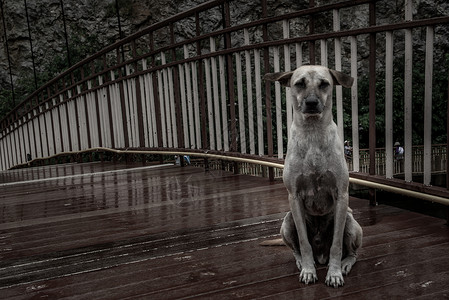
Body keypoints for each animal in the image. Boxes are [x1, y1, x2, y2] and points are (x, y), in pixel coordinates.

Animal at [264, 66, 362, 288]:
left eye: (324, 84)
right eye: (299, 83)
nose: (311, 103)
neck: (313, 132)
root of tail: (321, 256)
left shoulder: (341, 195)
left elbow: (336, 244)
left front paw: (334, 273)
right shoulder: (294, 197)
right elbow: (303, 242)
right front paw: (309, 271)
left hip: (351, 222)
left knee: (352, 253)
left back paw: (345, 264)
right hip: (287, 221)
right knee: (296, 249)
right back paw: (302, 262)